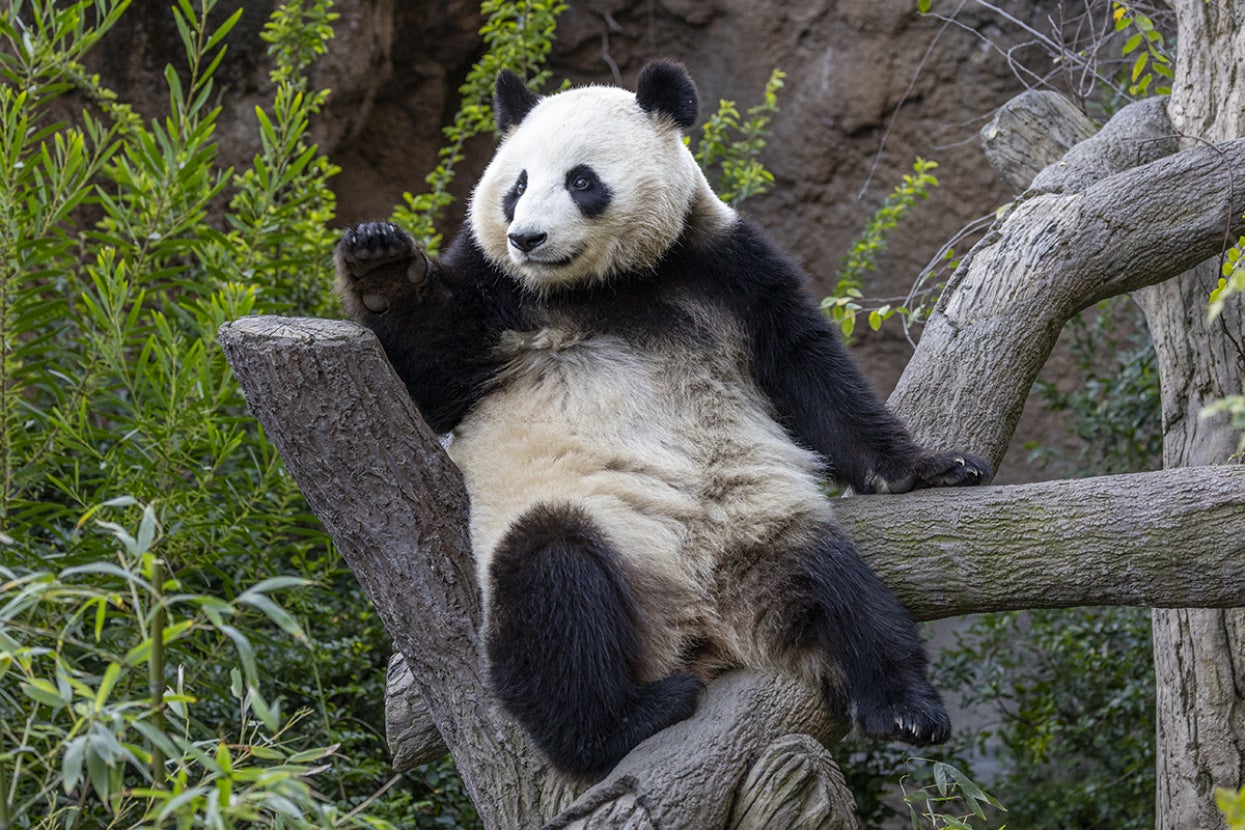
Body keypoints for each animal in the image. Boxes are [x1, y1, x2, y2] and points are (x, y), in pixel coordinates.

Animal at [335, 61, 991, 779]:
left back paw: (903, 707)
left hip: (762, 529)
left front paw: (928, 467)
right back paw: (622, 721)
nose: (527, 238)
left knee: (844, 597)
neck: (609, 284)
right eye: (517, 186)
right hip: (587, 526)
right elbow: (433, 370)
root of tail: (703, 622)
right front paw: (379, 263)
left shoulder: (723, 264)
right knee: (551, 590)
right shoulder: (497, 291)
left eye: (581, 181)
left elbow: (808, 370)